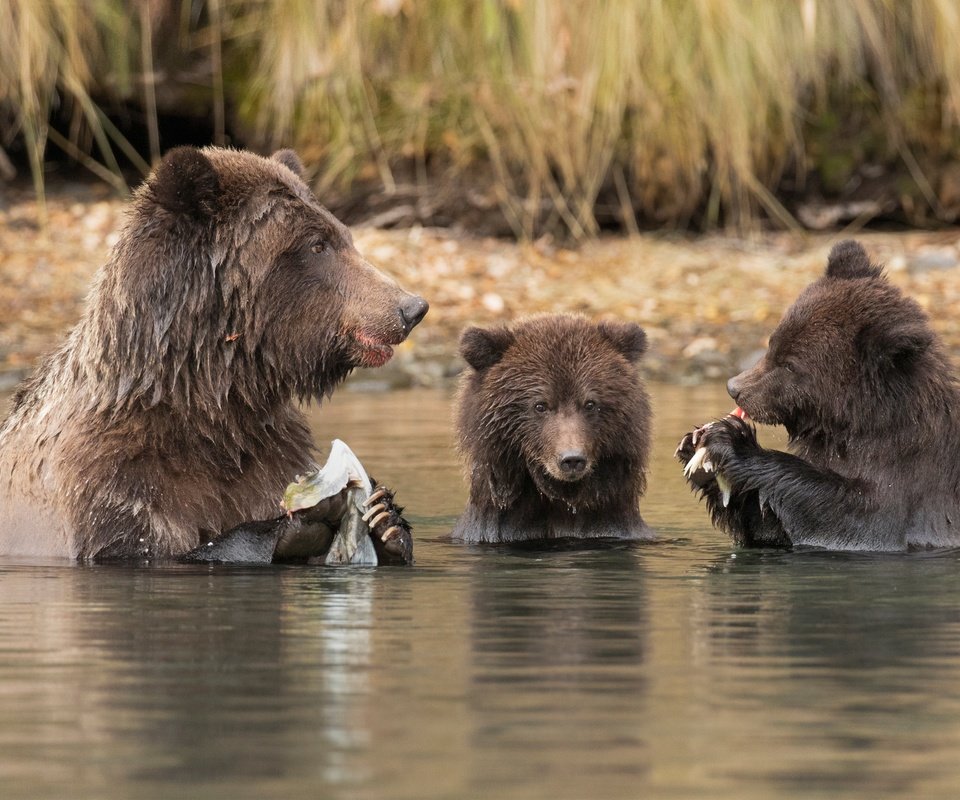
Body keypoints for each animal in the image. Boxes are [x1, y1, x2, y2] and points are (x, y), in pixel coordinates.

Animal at [0, 148, 428, 564]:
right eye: (317, 244)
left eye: (344, 236)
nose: (411, 307)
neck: (210, 402)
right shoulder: (107, 482)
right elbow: (146, 546)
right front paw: (296, 522)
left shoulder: (266, 454)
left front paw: (385, 518)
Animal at [676, 238, 960, 552]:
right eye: (772, 344)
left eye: (790, 364)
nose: (735, 388)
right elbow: (770, 524)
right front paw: (696, 450)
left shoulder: (911, 481)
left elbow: (855, 516)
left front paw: (732, 441)